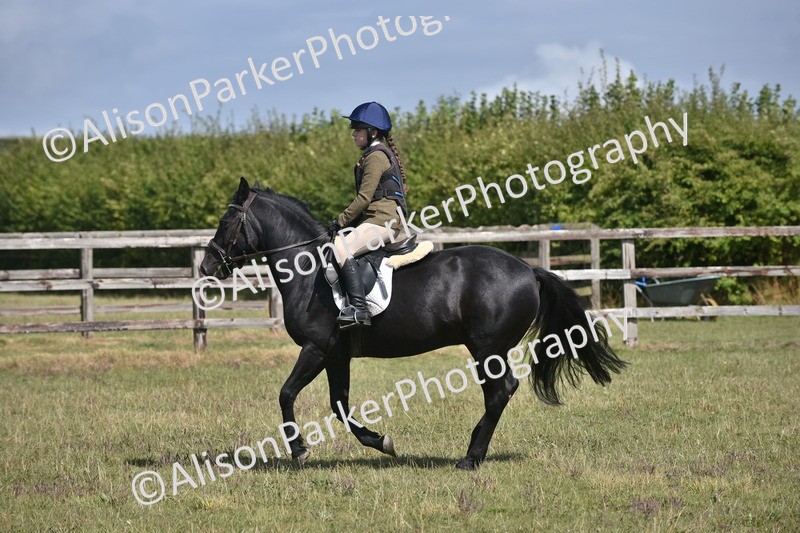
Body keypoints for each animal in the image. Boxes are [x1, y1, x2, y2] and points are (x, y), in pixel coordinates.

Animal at [199, 177, 627, 470]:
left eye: (225, 220)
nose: (206, 266)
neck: (310, 271)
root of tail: (528, 269)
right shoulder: (337, 354)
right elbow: (340, 405)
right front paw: (381, 442)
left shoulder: (317, 348)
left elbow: (286, 394)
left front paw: (300, 450)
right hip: (487, 348)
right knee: (498, 393)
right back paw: (471, 452)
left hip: (487, 348)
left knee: (499, 392)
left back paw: (470, 457)